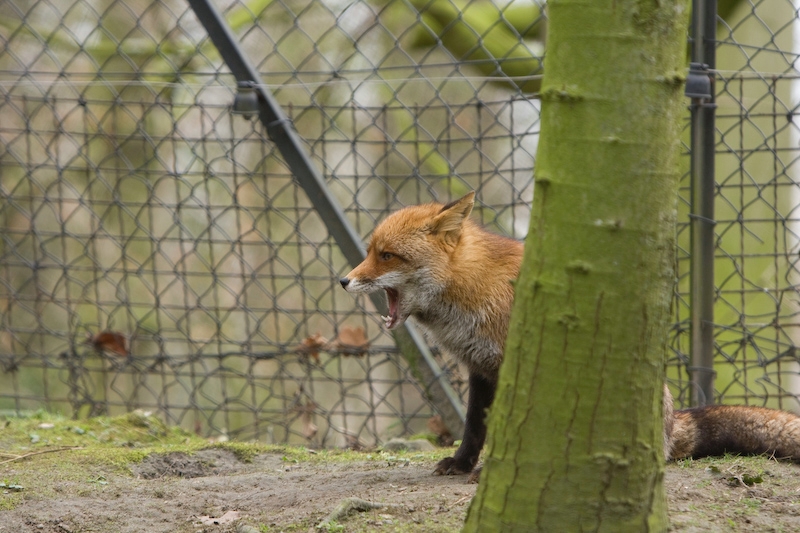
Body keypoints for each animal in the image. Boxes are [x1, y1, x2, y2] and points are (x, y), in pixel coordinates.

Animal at [340, 191, 800, 477]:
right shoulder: (482, 369)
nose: (344, 280)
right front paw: (462, 464)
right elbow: (473, 427)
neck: (470, 289)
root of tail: (673, 426)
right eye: (370, 251)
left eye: (387, 256)